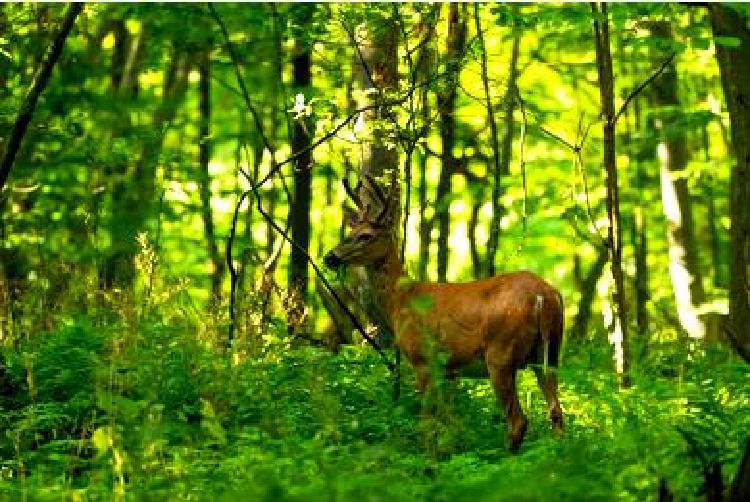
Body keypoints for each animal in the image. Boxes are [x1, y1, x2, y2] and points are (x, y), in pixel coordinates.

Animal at [324, 176, 564, 452]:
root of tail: (544, 296)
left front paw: (429, 458)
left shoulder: (422, 359)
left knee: (518, 421)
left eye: (366, 236)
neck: (401, 299)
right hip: (550, 352)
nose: (330, 257)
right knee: (556, 412)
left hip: (501, 353)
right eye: (349, 232)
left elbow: (427, 418)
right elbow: (446, 417)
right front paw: (449, 451)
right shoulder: (449, 370)